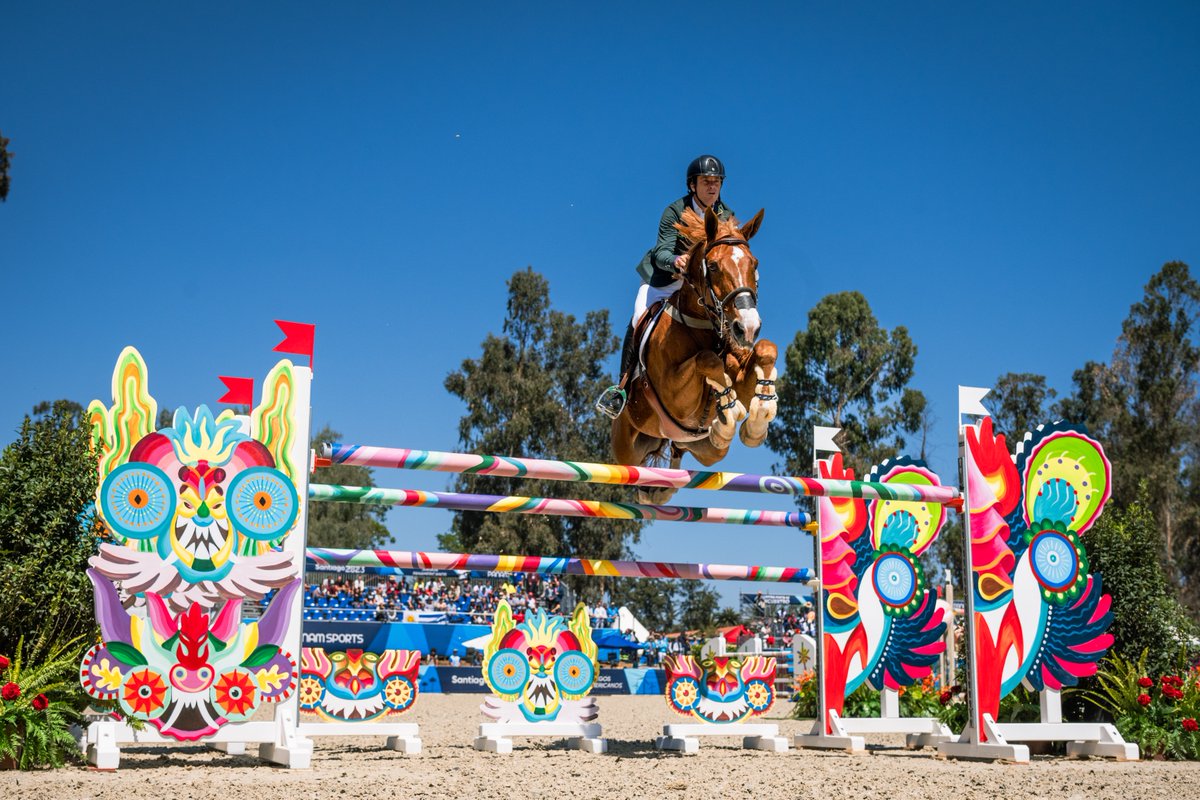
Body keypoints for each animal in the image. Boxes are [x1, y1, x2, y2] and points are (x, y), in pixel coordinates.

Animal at [614, 205, 782, 501]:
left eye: (754, 264)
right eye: (712, 266)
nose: (747, 327)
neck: (703, 326)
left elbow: (766, 349)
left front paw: (757, 419)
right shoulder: (672, 392)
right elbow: (707, 359)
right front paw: (730, 407)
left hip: (705, 450)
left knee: (683, 451)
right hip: (626, 450)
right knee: (636, 469)